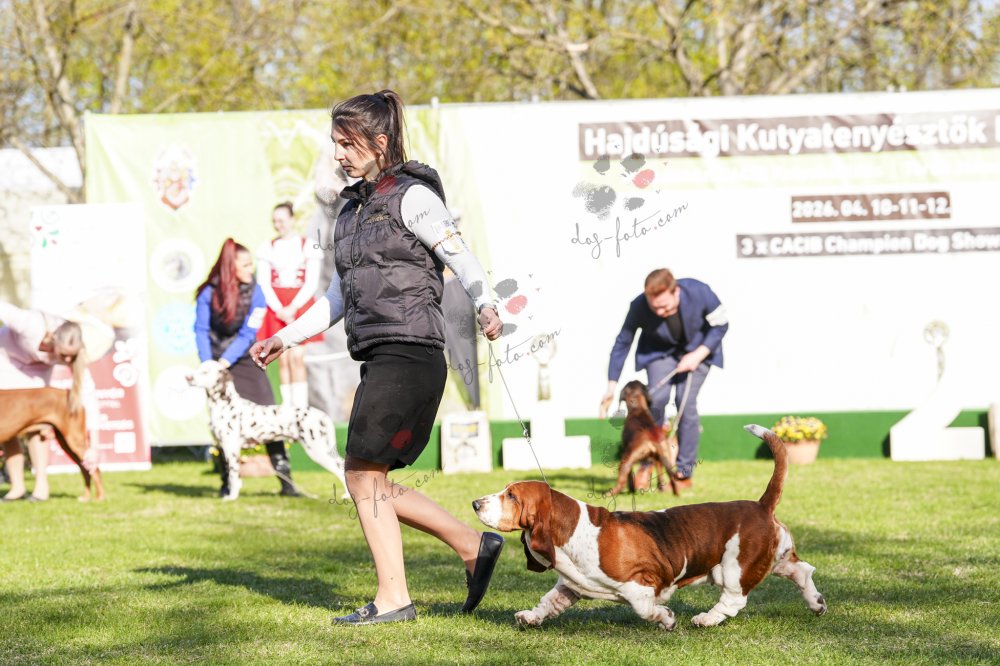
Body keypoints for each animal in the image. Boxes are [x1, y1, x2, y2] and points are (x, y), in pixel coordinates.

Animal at [186, 360, 347, 501]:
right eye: (198, 369)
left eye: (205, 372)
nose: (188, 377)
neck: (225, 405)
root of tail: (322, 415)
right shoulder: (221, 446)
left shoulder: (231, 449)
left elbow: (234, 476)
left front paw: (232, 497)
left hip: (317, 450)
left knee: (340, 468)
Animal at [473, 424, 827, 631]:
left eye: (511, 496)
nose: (475, 503)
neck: (574, 530)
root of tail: (760, 505)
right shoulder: (570, 585)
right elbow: (549, 602)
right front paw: (530, 617)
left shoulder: (643, 580)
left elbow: (642, 606)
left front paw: (666, 619)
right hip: (769, 558)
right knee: (802, 570)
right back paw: (817, 603)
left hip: (733, 567)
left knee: (734, 600)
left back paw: (706, 619)